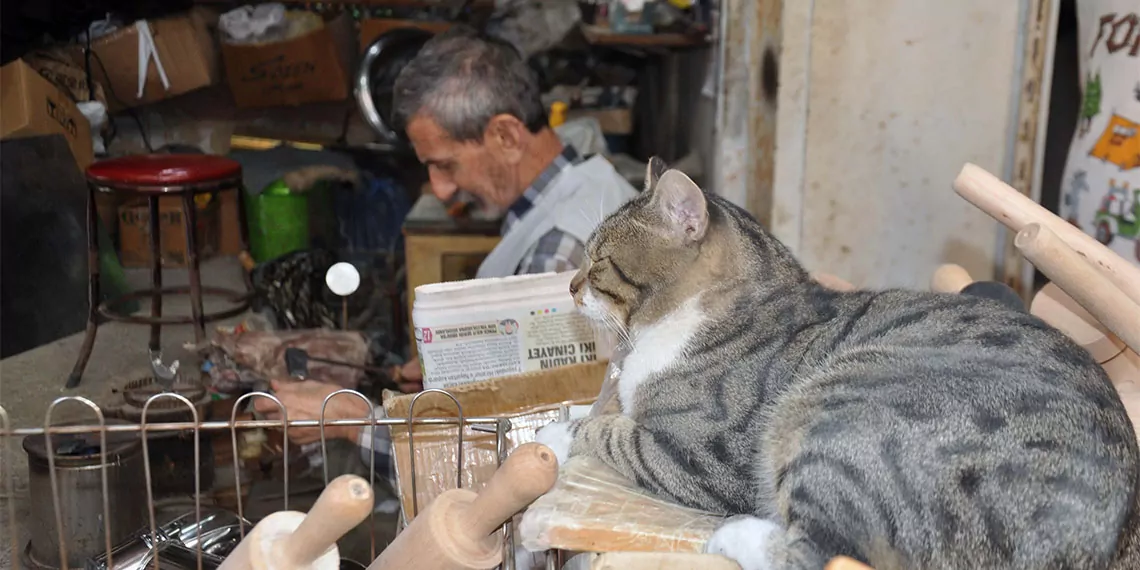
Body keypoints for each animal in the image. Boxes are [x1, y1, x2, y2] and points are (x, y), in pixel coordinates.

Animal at [531, 159, 1140, 570]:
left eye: (599, 262)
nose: (570, 284)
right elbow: (597, 411)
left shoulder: (702, 456)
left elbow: (611, 431)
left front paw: (555, 436)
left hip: (836, 412)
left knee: (816, 553)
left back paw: (734, 535)